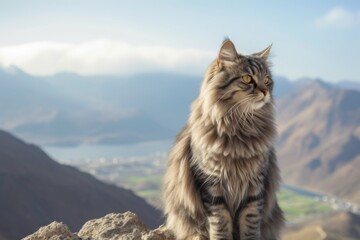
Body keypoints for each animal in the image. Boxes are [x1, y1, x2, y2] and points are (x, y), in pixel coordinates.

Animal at [162, 38, 284, 239]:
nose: (265, 91)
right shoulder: (212, 186)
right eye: (247, 79)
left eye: (267, 80)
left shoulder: (255, 187)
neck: (241, 127)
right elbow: (220, 224)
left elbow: (250, 224)